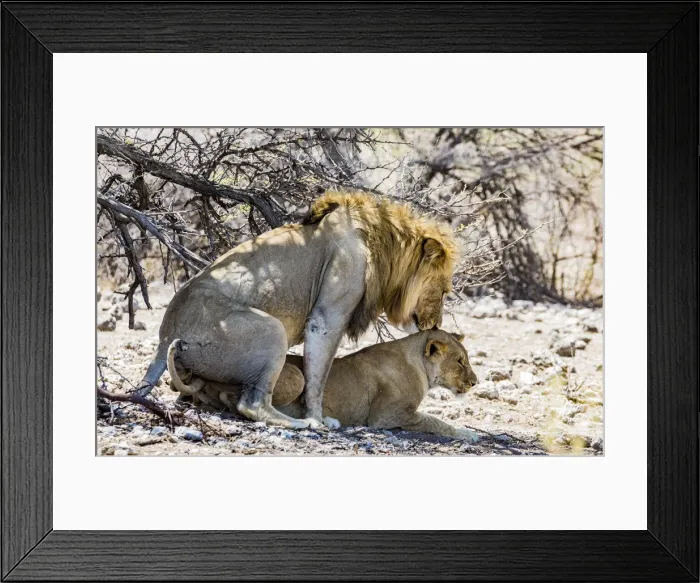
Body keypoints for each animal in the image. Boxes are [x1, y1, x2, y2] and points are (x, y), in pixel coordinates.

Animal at [136, 191, 458, 430]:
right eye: (444, 291)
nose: (435, 324)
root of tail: (165, 337)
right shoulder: (327, 317)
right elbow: (318, 375)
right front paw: (317, 418)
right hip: (270, 330)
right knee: (252, 404)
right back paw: (300, 424)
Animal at [168, 329, 480, 442]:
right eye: (460, 361)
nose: (475, 382)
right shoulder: (388, 415)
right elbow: (434, 420)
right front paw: (468, 433)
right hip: (295, 376)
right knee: (237, 399)